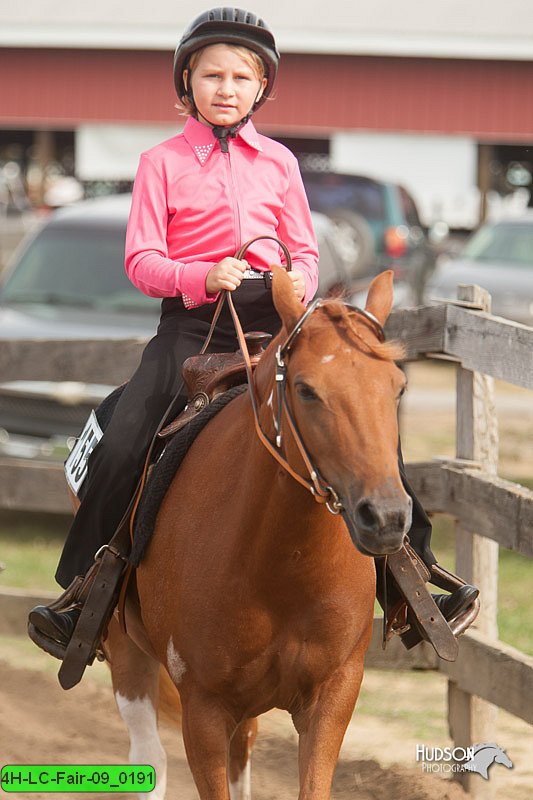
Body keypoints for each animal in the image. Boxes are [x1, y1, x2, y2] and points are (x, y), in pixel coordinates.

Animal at [105, 268, 412, 800]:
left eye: (396, 387)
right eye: (307, 390)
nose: (386, 517)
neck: (280, 568)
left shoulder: (334, 696)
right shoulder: (203, 709)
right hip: (125, 651)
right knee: (149, 758)